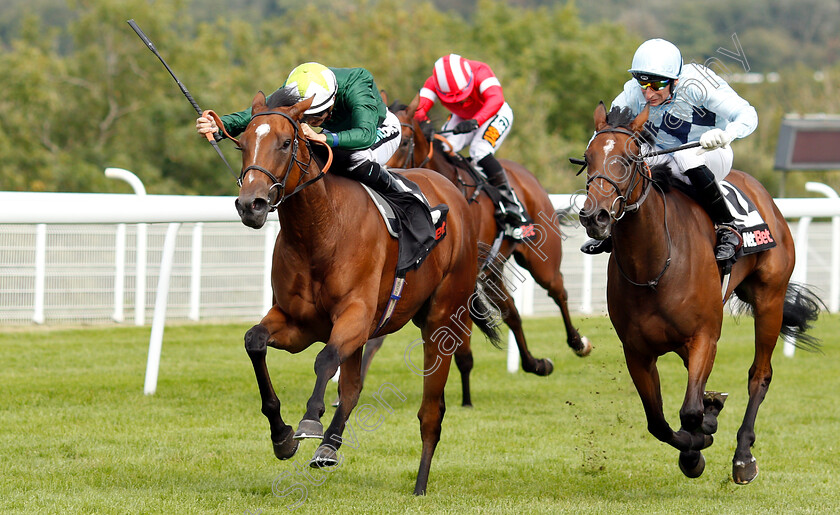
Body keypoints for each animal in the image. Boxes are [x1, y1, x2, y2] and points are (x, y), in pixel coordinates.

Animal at [576, 104, 820, 484]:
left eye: (629, 159)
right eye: (587, 158)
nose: (594, 216)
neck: (654, 264)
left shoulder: (705, 336)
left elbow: (688, 412)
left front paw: (697, 445)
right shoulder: (637, 351)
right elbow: (658, 423)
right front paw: (703, 426)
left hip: (770, 301)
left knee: (759, 375)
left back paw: (743, 456)